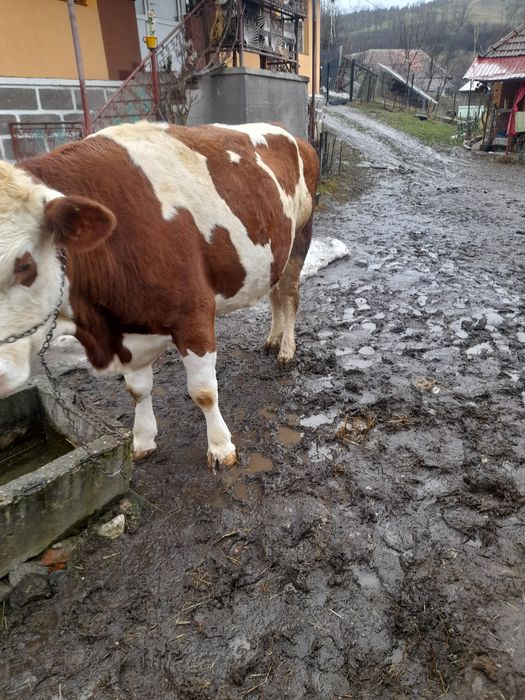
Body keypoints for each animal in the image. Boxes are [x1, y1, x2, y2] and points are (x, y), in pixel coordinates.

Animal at [0, 121, 318, 468]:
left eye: (24, 265)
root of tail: (292, 134)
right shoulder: (128, 326)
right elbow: (137, 390)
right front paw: (142, 440)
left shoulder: (194, 314)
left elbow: (204, 391)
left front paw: (221, 448)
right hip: (276, 252)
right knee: (275, 296)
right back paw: (273, 339)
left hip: (301, 236)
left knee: (290, 297)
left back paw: (286, 349)